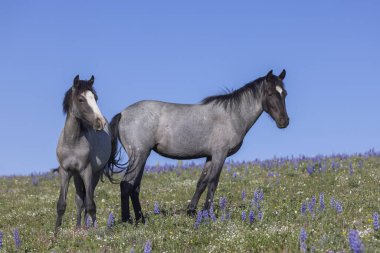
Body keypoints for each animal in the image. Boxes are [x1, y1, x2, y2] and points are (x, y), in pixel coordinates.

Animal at [105, 69, 290, 223]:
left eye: (285, 93)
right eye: (270, 93)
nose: (284, 122)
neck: (231, 116)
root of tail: (123, 113)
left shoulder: (210, 156)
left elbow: (202, 183)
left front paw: (192, 211)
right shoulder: (220, 154)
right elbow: (213, 182)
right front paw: (208, 215)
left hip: (142, 156)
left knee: (135, 187)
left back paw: (141, 218)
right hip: (139, 155)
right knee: (126, 184)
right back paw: (127, 220)